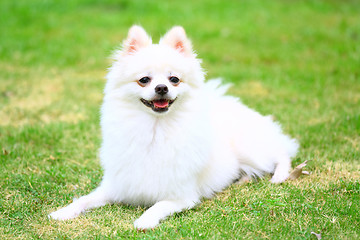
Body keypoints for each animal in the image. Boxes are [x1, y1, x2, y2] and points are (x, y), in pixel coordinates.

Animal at [50, 25, 298, 230]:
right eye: (144, 80)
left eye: (174, 79)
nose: (161, 87)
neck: (154, 130)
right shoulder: (115, 186)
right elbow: (85, 199)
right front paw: (63, 212)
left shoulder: (182, 197)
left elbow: (158, 205)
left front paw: (145, 220)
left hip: (251, 150)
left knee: (282, 152)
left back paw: (279, 175)